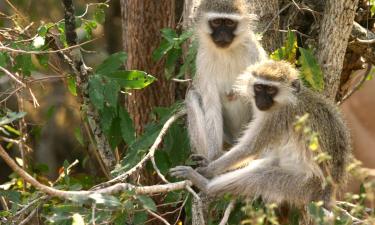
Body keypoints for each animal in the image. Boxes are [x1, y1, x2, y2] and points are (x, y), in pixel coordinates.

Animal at [187, 0, 268, 162]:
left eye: (230, 23)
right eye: (217, 22)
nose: (223, 35)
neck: (226, 52)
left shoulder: (253, 53)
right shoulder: (203, 59)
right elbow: (211, 106)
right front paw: (213, 157)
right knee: (192, 96)